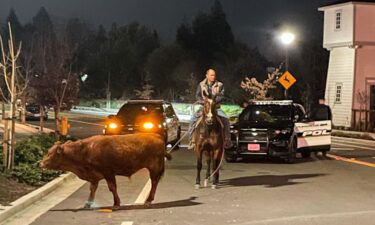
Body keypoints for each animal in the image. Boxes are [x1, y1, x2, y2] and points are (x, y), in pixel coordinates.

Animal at [40, 134, 172, 209]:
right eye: (48, 151)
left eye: (50, 154)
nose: (40, 163)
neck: (84, 150)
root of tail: (158, 139)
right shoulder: (95, 177)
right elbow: (92, 189)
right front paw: (88, 203)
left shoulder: (108, 172)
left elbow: (112, 187)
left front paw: (116, 203)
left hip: (154, 168)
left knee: (154, 182)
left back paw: (149, 200)